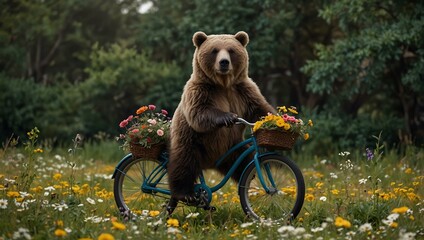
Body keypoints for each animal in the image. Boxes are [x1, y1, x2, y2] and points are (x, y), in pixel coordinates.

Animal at [167, 31, 276, 212]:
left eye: (231, 50)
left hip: (232, 148)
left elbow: (260, 109)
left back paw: (249, 176)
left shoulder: (244, 91)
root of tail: (210, 163)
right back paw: (186, 193)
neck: (223, 83)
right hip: (190, 140)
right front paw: (228, 117)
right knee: (183, 163)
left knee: (244, 162)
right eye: (214, 50)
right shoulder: (200, 90)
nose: (224, 62)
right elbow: (199, 112)